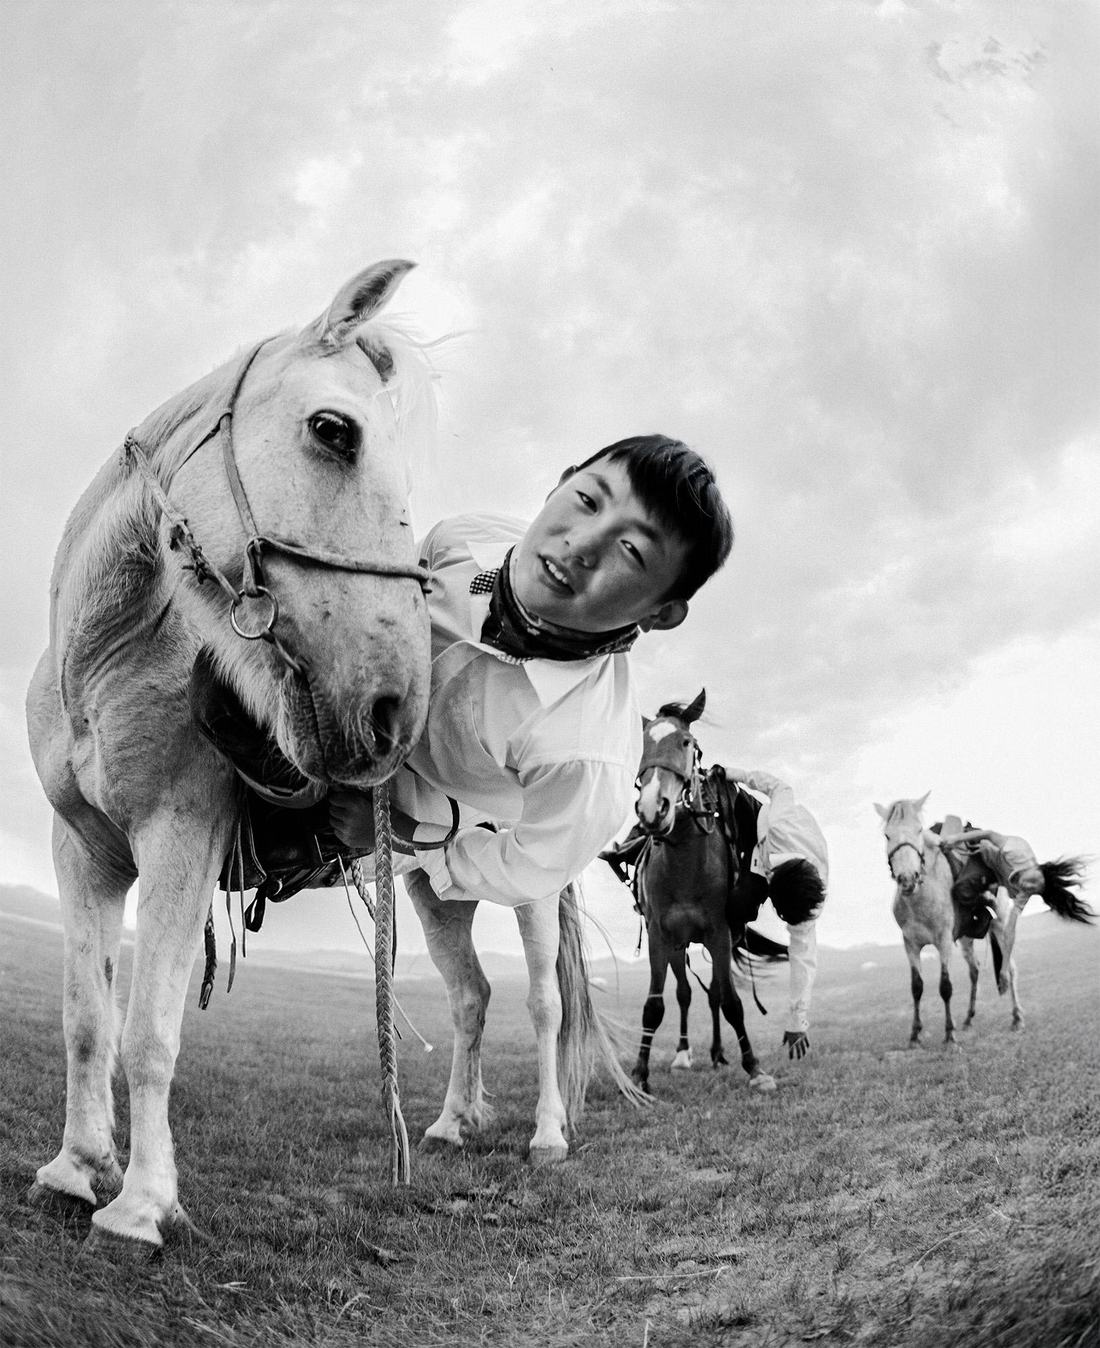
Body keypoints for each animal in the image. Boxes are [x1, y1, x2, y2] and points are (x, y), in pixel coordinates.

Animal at [25, 262, 440, 1251]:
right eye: (334, 430)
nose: (395, 709)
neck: (106, 662)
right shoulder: (82, 852)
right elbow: (88, 1020)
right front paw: (77, 1169)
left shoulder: (180, 839)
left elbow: (149, 1032)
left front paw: (141, 1205)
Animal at [627, 691, 780, 1096]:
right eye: (642, 745)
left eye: (686, 742)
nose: (653, 808)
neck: (684, 858)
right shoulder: (659, 936)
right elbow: (654, 1006)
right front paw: (639, 1074)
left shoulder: (719, 933)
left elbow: (732, 1003)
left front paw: (754, 1068)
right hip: (679, 946)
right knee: (685, 993)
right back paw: (684, 1055)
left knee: (715, 994)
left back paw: (717, 1052)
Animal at [875, 795, 1023, 1044]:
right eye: (887, 835)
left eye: (919, 830)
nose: (907, 879)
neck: (920, 898)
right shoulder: (910, 944)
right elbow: (916, 987)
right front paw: (915, 1035)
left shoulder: (943, 941)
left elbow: (945, 987)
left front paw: (949, 1036)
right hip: (966, 937)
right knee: (974, 970)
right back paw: (968, 1019)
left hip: (1002, 925)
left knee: (1009, 968)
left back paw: (1017, 1018)